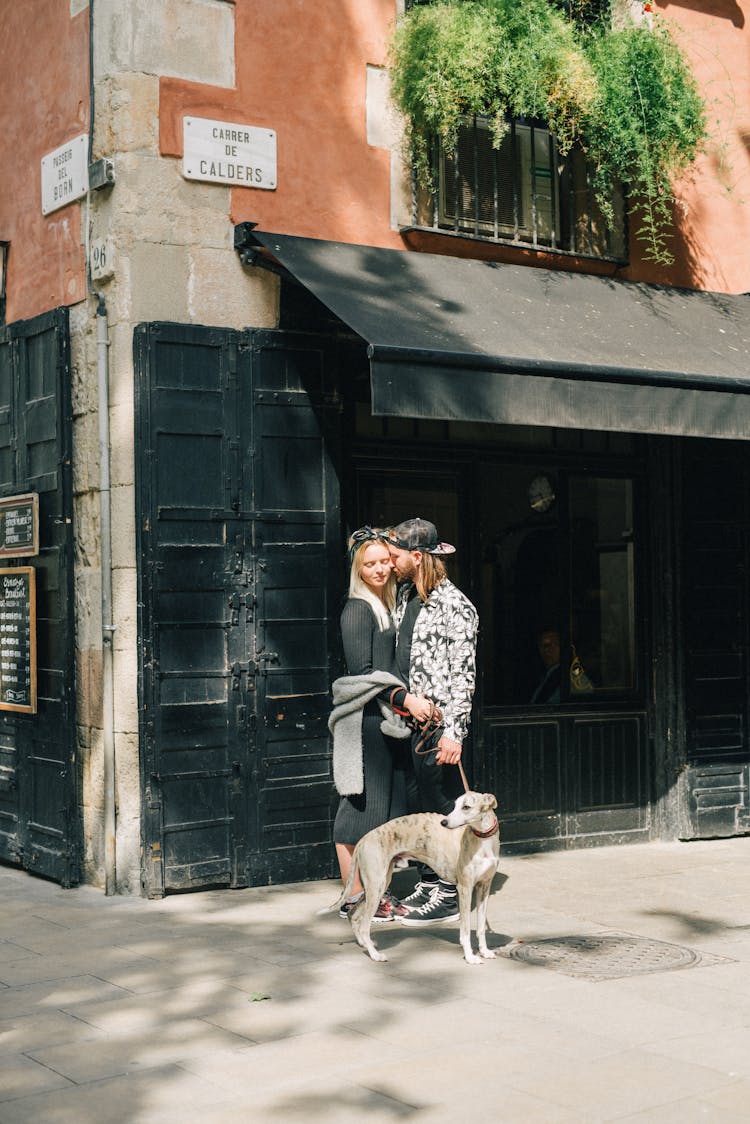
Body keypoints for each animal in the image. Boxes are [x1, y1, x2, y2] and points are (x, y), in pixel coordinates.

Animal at [326, 791, 501, 966]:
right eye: (455, 805)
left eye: (466, 807)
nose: (444, 822)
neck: (482, 841)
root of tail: (363, 840)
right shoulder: (465, 889)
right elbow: (465, 931)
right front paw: (470, 956)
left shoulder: (484, 887)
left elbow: (481, 927)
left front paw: (484, 951)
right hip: (376, 886)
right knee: (363, 925)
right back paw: (375, 955)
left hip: (376, 886)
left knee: (353, 914)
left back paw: (364, 943)